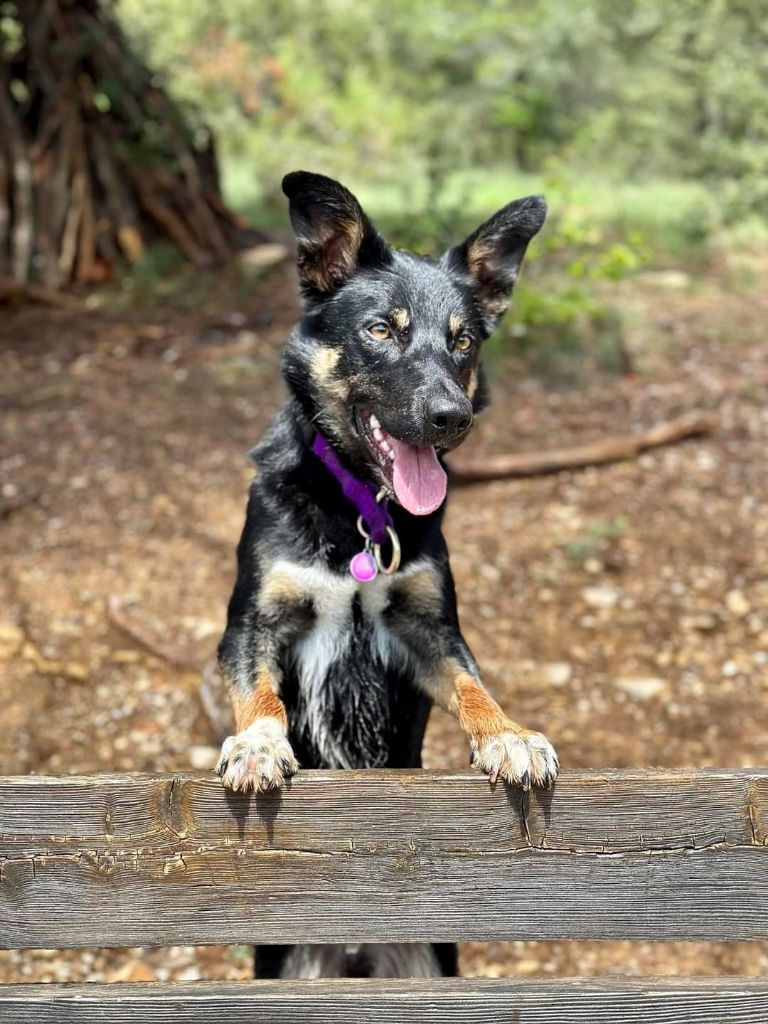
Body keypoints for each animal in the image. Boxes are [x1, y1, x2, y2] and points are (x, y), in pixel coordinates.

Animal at [217, 172, 561, 978]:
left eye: (462, 340)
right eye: (381, 330)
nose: (452, 416)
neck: (360, 507)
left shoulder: (427, 629)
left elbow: (473, 684)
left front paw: (508, 735)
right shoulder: (250, 624)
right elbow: (260, 694)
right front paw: (258, 744)